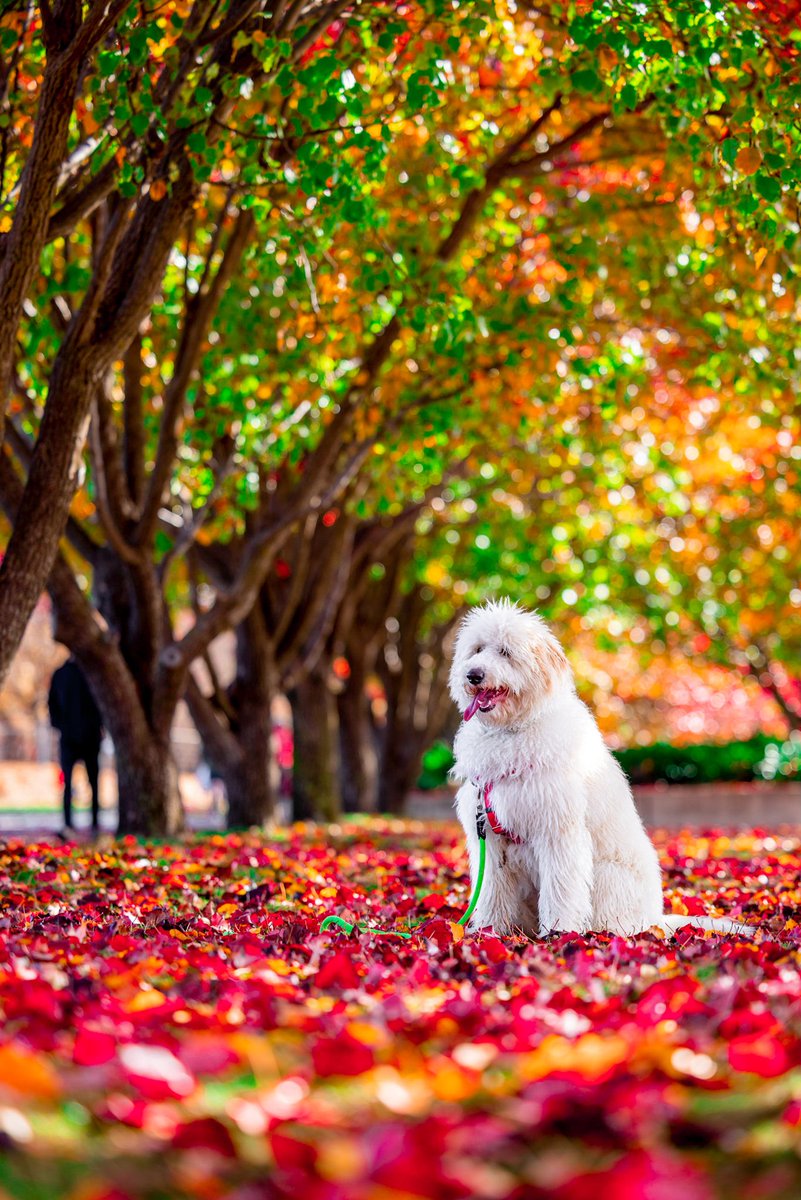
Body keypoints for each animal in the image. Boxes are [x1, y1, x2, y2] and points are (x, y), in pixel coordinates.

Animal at [450, 600, 753, 936]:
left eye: (504, 651)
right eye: (477, 649)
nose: (473, 675)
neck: (511, 730)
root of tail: (656, 919)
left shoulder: (559, 830)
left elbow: (562, 886)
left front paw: (558, 932)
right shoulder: (488, 838)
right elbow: (491, 888)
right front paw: (489, 930)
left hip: (608, 876)